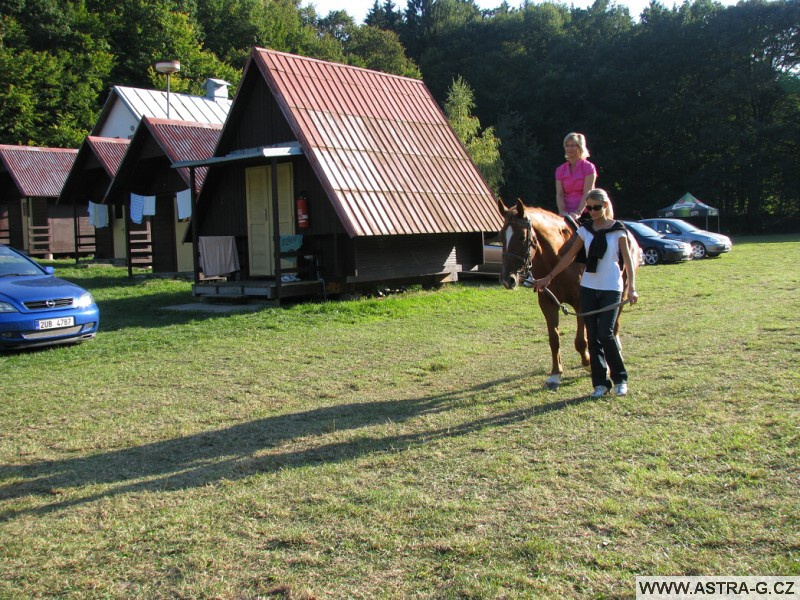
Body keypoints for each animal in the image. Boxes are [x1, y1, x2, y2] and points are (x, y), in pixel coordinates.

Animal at [496, 199, 640, 392]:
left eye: (521, 237)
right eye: (501, 236)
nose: (507, 279)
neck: (558, 259)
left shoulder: (581, 304)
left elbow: (580, 340)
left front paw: (588, 363)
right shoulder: (547, 303)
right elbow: (554, 339)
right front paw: (556, 374)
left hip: (622, 293)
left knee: (614, 324)